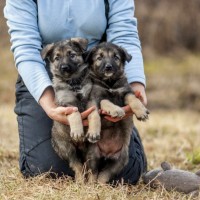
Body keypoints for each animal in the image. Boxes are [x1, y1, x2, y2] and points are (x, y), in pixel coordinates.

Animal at [41, 38, 93, 183]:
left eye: (72, 55)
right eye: (57, 58)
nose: (64, 67)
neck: (73, 82)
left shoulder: (90, 95)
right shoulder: (65, 104)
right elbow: (74, 113)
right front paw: (77, 130)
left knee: (89, 165)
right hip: (67, 148)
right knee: (78, 166)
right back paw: (80, 182)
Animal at [84, 43, 150, 184]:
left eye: (116, 57)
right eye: (99, 57)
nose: (108, 67)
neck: (110, 83)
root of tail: (107, 154)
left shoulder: (126, 92)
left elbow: (133, 99)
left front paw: (141, 111)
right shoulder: (94, 99)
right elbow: (101, 106)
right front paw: (115, 110)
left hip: (119, 161)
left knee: (103, 176)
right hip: (92, 156)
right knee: (93, 174)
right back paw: (90, 185)